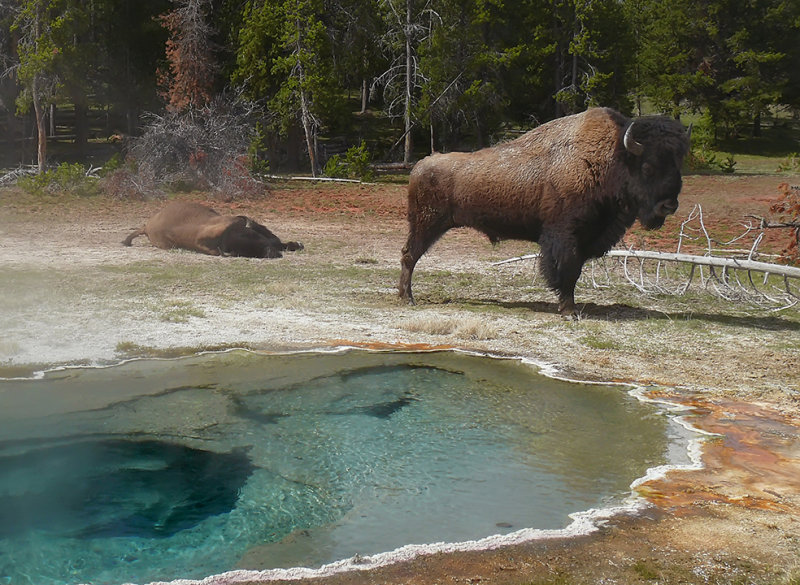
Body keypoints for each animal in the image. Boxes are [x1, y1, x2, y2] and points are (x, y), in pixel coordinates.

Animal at [396, 105, 692, 314]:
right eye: (648, 167)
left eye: (677, 164)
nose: (669, 205)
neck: (610, 158)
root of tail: (420, 166)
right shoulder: (564, 236)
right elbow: (567, 271)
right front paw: (569, 310)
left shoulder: (586, 238)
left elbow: (574, 273)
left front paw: (569, 307)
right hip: (426, 224)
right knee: (410, 255)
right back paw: (407, 298)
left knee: (409, 255)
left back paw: (405, 297)